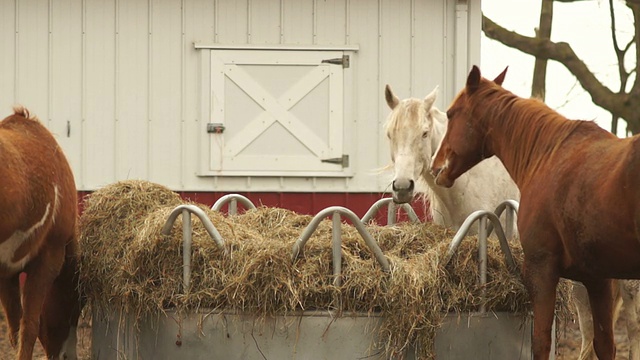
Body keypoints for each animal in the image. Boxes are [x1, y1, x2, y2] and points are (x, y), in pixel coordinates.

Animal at [0, 107, 82, 360]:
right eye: (74, 302)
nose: (67, 355)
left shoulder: (7, 273)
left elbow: (15, 330)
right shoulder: (48, 260)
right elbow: (29, 327)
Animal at [382, 83, 636, 358]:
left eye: (424, 133)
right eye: (389, 134)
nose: (402, 187)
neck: (467, 185)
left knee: (633, 326)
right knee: (589, 329)